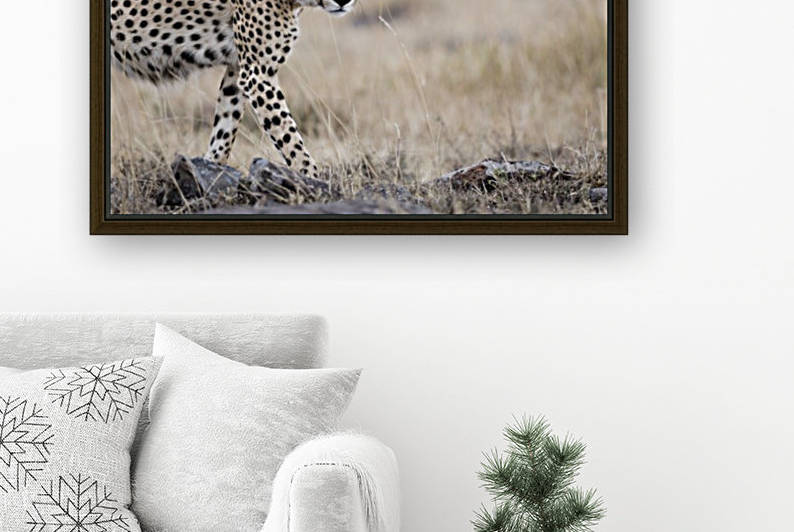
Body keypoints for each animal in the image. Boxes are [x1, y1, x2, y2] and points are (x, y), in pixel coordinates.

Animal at [109, 0, 357, 179]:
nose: (344, 2)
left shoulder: (239, 70)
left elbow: (225, 128)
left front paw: (208, 170)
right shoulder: (257, 74)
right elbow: (289, 137)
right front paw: (314, 182)